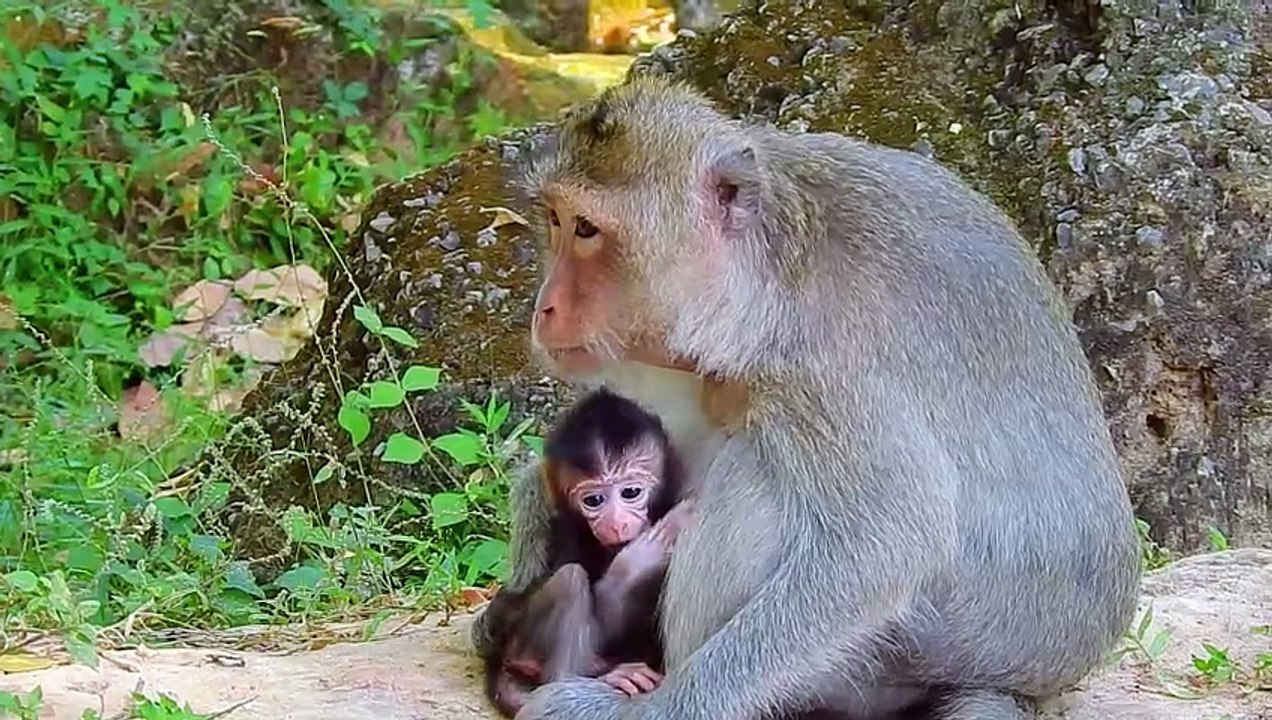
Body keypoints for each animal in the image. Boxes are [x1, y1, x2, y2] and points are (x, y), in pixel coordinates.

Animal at [481, 388, 695, 718]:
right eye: (593, 500)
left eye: (631, 492)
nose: (616, 523)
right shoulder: (568, 531)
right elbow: (605, 623)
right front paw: (642, 556)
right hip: (521, 642)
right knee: (569, 580)